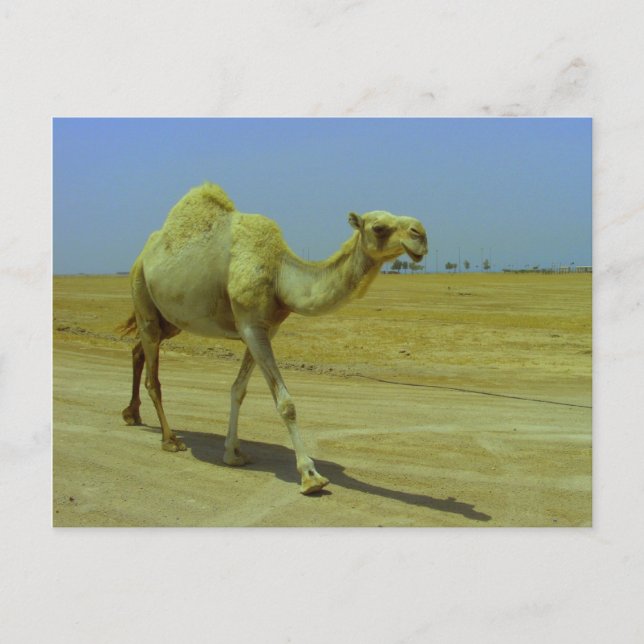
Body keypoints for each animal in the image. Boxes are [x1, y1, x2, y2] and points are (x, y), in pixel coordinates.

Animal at [119, 182, 428, 494]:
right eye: (379, 227)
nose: (421, 233)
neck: (280, 275)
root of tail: (141, 256)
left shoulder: (262, 328)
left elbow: (238, 390)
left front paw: (233, 453)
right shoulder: (251, 326)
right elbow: (285, 403)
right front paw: (310, 475)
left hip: (171, 319)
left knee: (138, 350)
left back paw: (132, 414)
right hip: (142, 296)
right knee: (153, 377)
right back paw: (169, 439)